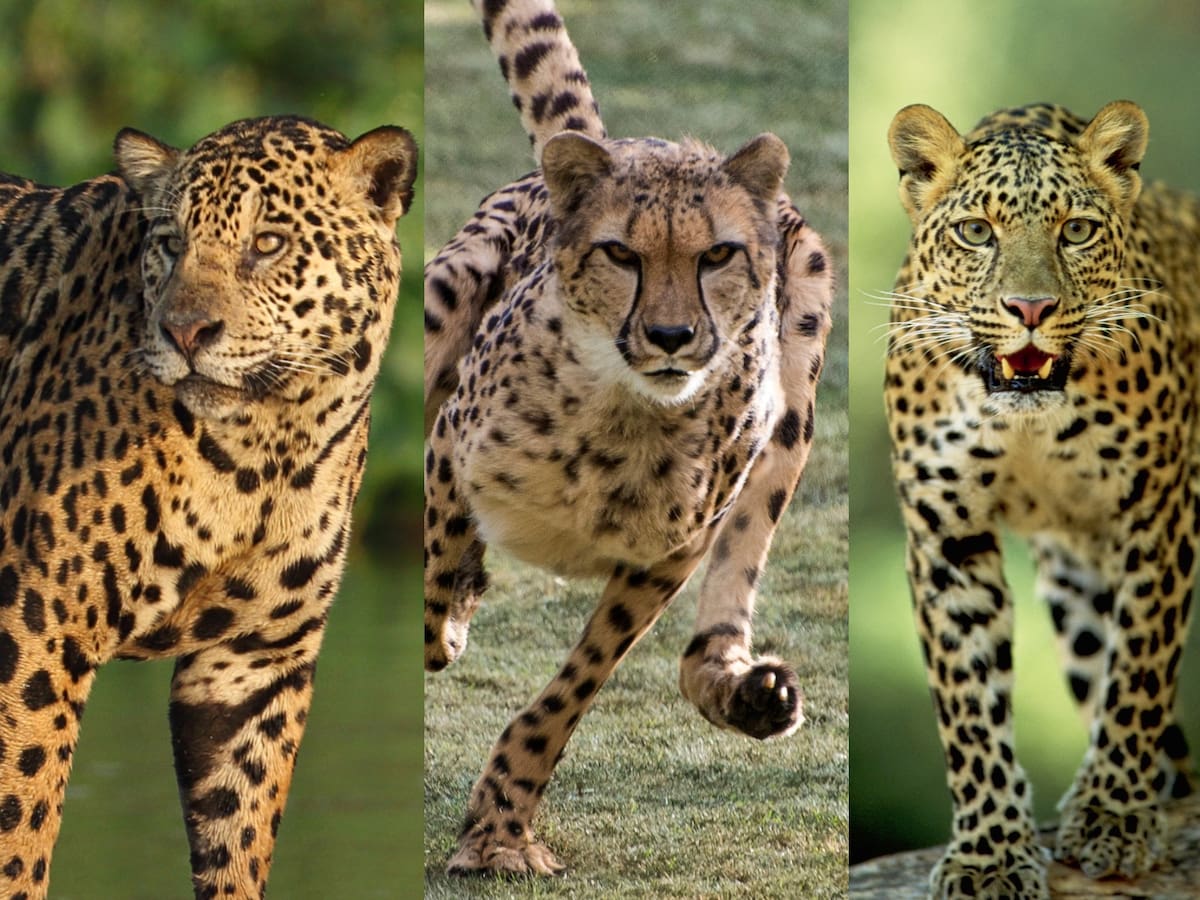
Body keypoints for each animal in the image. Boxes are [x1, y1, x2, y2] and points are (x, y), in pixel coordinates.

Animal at [0, 115, 416, 899]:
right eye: (170, 242)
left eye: (269, 243)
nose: (185, 332)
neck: (267, 451)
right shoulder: (34, 630)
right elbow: (20, 825)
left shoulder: (250, 667)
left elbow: (239, 838)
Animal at [423, 0, 834, 876]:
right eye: (620, 252)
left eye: (718, 254)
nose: (673, 336)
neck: (627, 414)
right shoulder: (447, 443)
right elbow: (435, 571)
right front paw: (451, 609)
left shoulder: (671, 551)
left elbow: (572, 689)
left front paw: (500, 831)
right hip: (448, 286)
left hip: (796, 397)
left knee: (706, 642)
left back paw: (749, 693)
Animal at [884, 99, 1199, 898]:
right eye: (976, 231)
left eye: (1076, 230)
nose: (1030, 307)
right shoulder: (947, 538)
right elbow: (970, 705)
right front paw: (990, 852)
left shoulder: (1159, 516)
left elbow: (1140, 671)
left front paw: (1115, 814)